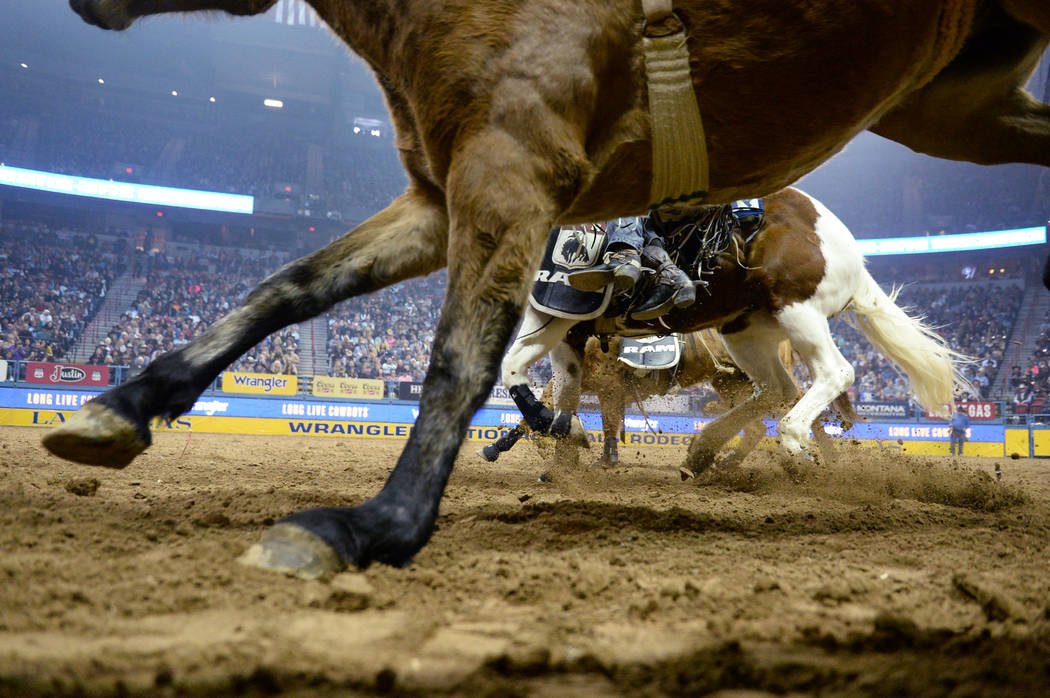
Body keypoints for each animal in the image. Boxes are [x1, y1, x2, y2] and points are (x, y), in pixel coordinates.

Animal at [51, 1, 1050, 575]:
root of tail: (840, 241)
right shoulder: (532, 296)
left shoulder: (528, 279)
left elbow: (497, 371)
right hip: (753, 325)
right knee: (771, 391)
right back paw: (705, 453)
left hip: (800, 308)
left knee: (831, 381)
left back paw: (793, 446)